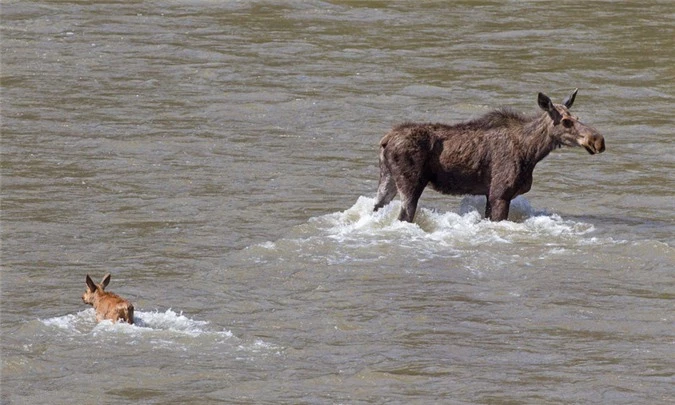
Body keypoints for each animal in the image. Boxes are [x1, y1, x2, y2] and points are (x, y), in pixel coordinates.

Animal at [374, 88, 608, 221]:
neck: (532, 152)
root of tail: (385, 140)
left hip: (387, 180)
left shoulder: (491, 194)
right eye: (566, 122)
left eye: (577, 117)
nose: (598, 140)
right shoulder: (499, 193)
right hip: (411, 183)